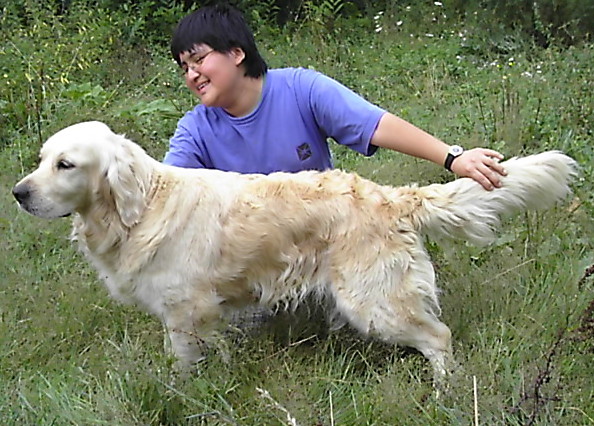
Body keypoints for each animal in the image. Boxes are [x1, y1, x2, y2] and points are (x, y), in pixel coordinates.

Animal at [12, 121, 577, 379]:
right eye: (40, 159)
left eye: (65, 164)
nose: (18, 193)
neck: (139, 209)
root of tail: (394, 197)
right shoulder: (203, 314)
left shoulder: (184, 314)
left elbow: (184, 365)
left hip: (374, 302)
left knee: (438, 336)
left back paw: (445, 388)